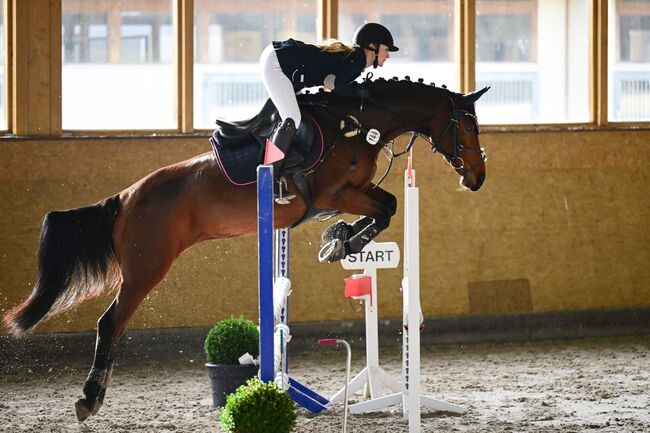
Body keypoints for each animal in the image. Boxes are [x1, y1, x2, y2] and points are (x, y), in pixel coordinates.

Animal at [0, 77, 486, 418]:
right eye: (466, 124)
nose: (477, 178)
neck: (359, 124)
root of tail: (124, 198)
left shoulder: (356, 192)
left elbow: (387, 206)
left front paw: (340, 240)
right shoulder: (335, 193)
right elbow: (387, 208)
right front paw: (344, 240)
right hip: (146, 269)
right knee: (110, 323)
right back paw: (89, 399)